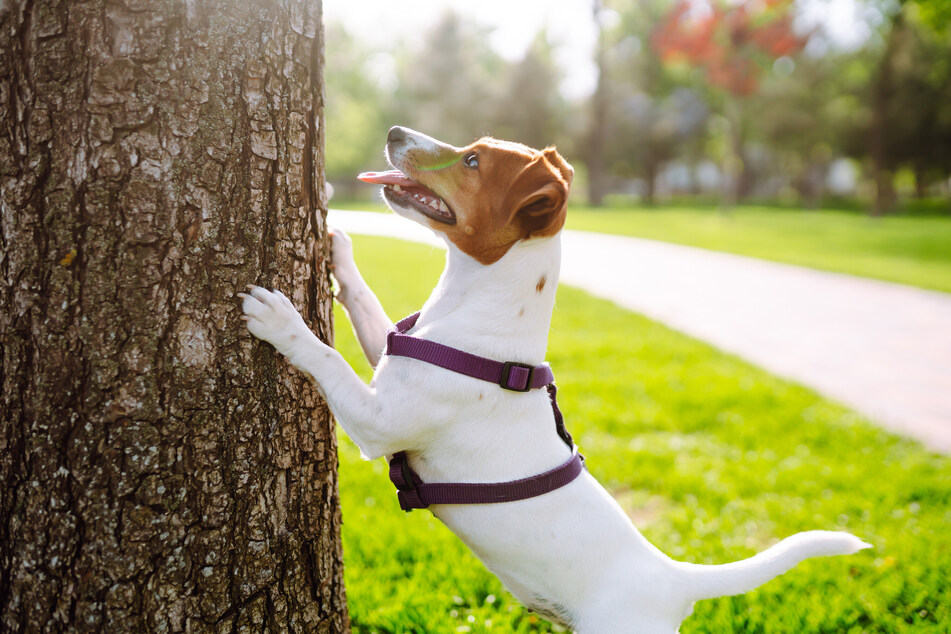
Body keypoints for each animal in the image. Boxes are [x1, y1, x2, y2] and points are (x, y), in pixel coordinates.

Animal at [240, 126, 872, 628]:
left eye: (472, 161)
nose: (395, 129)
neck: (476, 313)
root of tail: (674, 580)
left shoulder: (377, 421)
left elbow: (327, 359)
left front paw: (281, 320)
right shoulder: (389, 356)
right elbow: (367, 307)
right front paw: (339, 248)